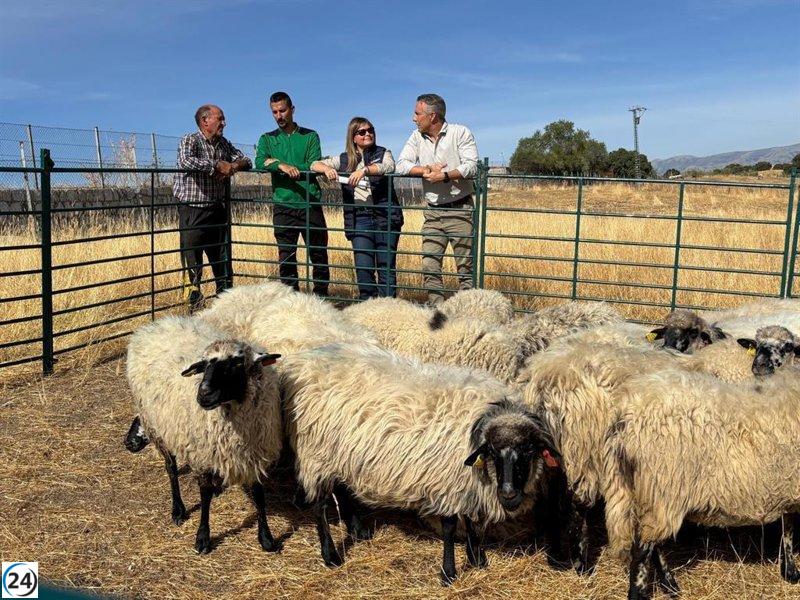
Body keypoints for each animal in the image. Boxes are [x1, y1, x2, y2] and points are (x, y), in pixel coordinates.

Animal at [126, 316, 284, 554]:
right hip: (157, 426)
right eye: (205, 365)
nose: (203, 393)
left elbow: (258, 493)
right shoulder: (203, 454)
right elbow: (205, 493)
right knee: (171, 469)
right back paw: (178, 509)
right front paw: (203, 537)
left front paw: (266, 538)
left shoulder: (255, 451)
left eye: (238, 362)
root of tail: (157, 323)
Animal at [279, 342, 560, 585]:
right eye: (491, 450)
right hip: (315, 453)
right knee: (320, 505)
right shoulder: (448, 481)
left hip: (340, 452)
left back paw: (358, 530)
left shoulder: (466, 483)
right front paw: (449, 573)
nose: (509, 493)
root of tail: (301, 360)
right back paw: (331, 555)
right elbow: (450, 527)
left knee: (340, 486)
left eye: (529, 450)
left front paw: (477, 559)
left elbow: (471, 520)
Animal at [604, 368, 800, 598]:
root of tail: (626, 412)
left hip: (647, 492)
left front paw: (790, 570)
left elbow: (788, 526)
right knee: (642, 549)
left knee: (652, 544)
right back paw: (641, 591)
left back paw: (670, 585)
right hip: (662, 487)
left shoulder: (788, 486)